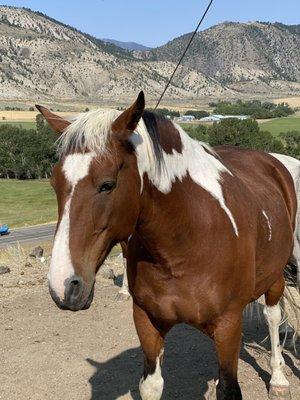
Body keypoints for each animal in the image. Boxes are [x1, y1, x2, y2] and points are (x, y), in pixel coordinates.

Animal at [36, 92, 298, 398]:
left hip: (274, 277)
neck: (185, 243)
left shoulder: (229, 324)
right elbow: (151, 385)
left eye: (107, 184)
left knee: (273, 316)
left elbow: (230, 388)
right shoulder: (147, 321)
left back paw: (278, 377)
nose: (64, 285)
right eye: (54, 183)